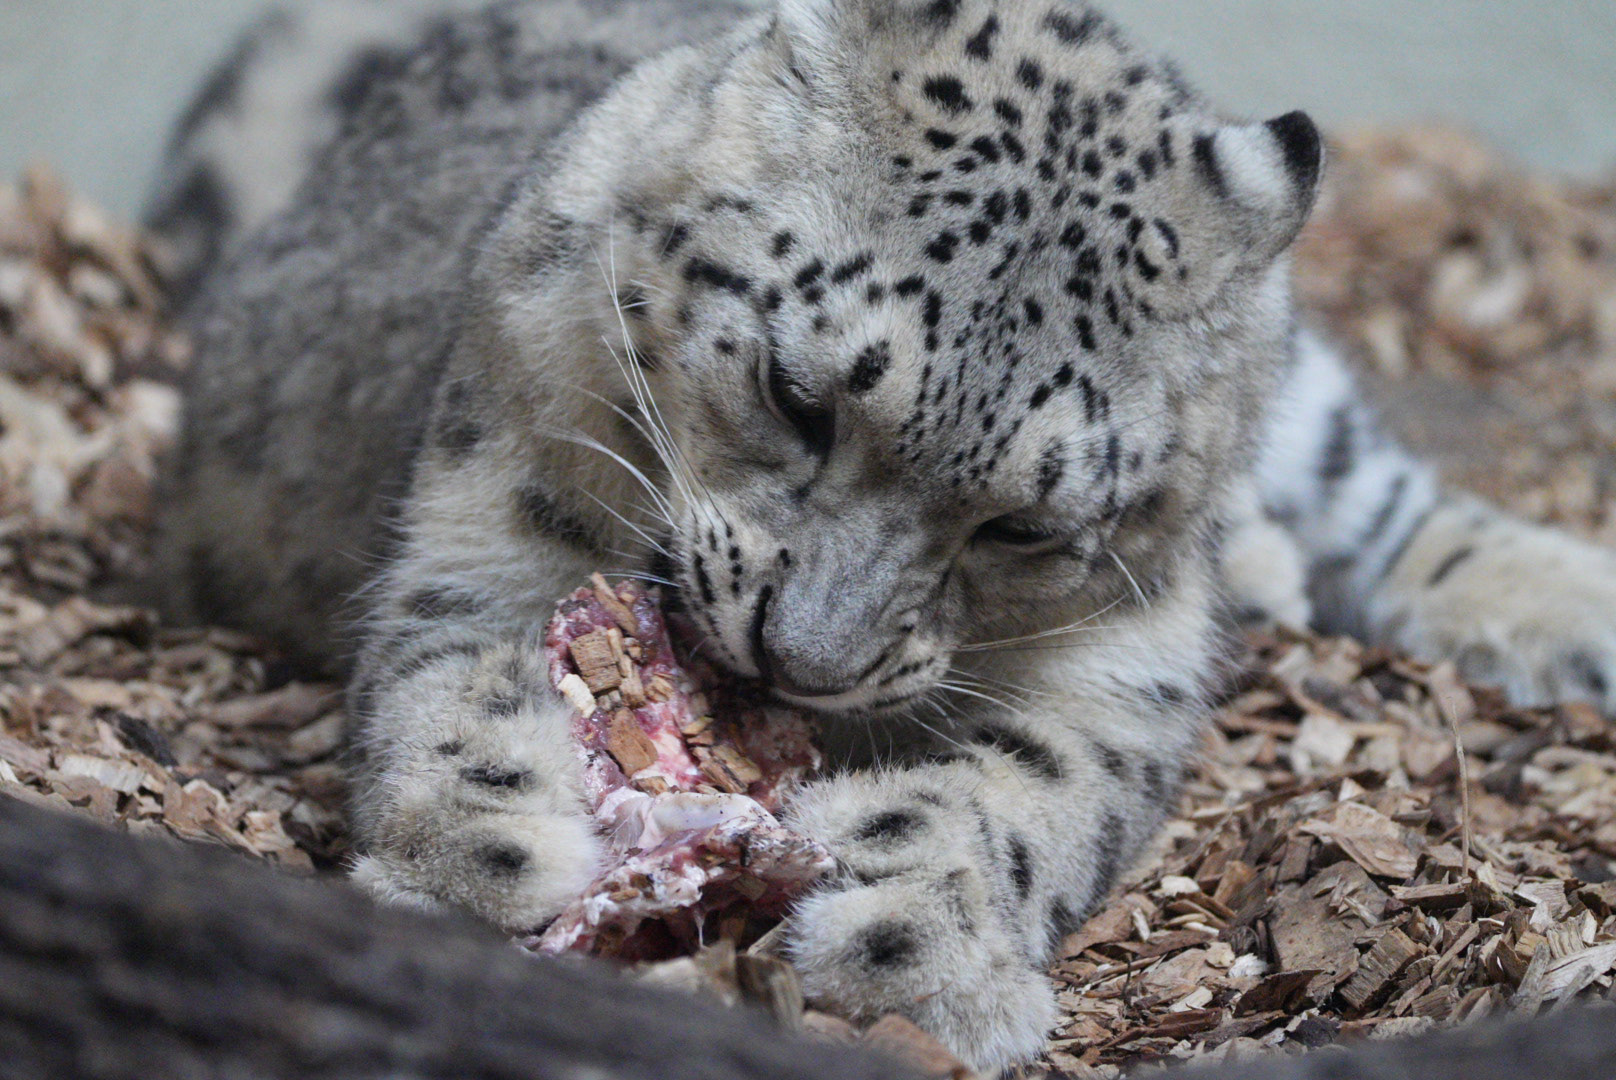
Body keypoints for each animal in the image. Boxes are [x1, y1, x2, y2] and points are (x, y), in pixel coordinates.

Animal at [147, 0, 1616, 1070]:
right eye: (797, 395)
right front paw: (480, 865)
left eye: (1022, 523)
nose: (798, 659)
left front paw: (911, 947)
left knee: (1380, 493)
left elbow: (1034, 789)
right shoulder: (492, 513)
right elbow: (449, 679)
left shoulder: (1124, 658)